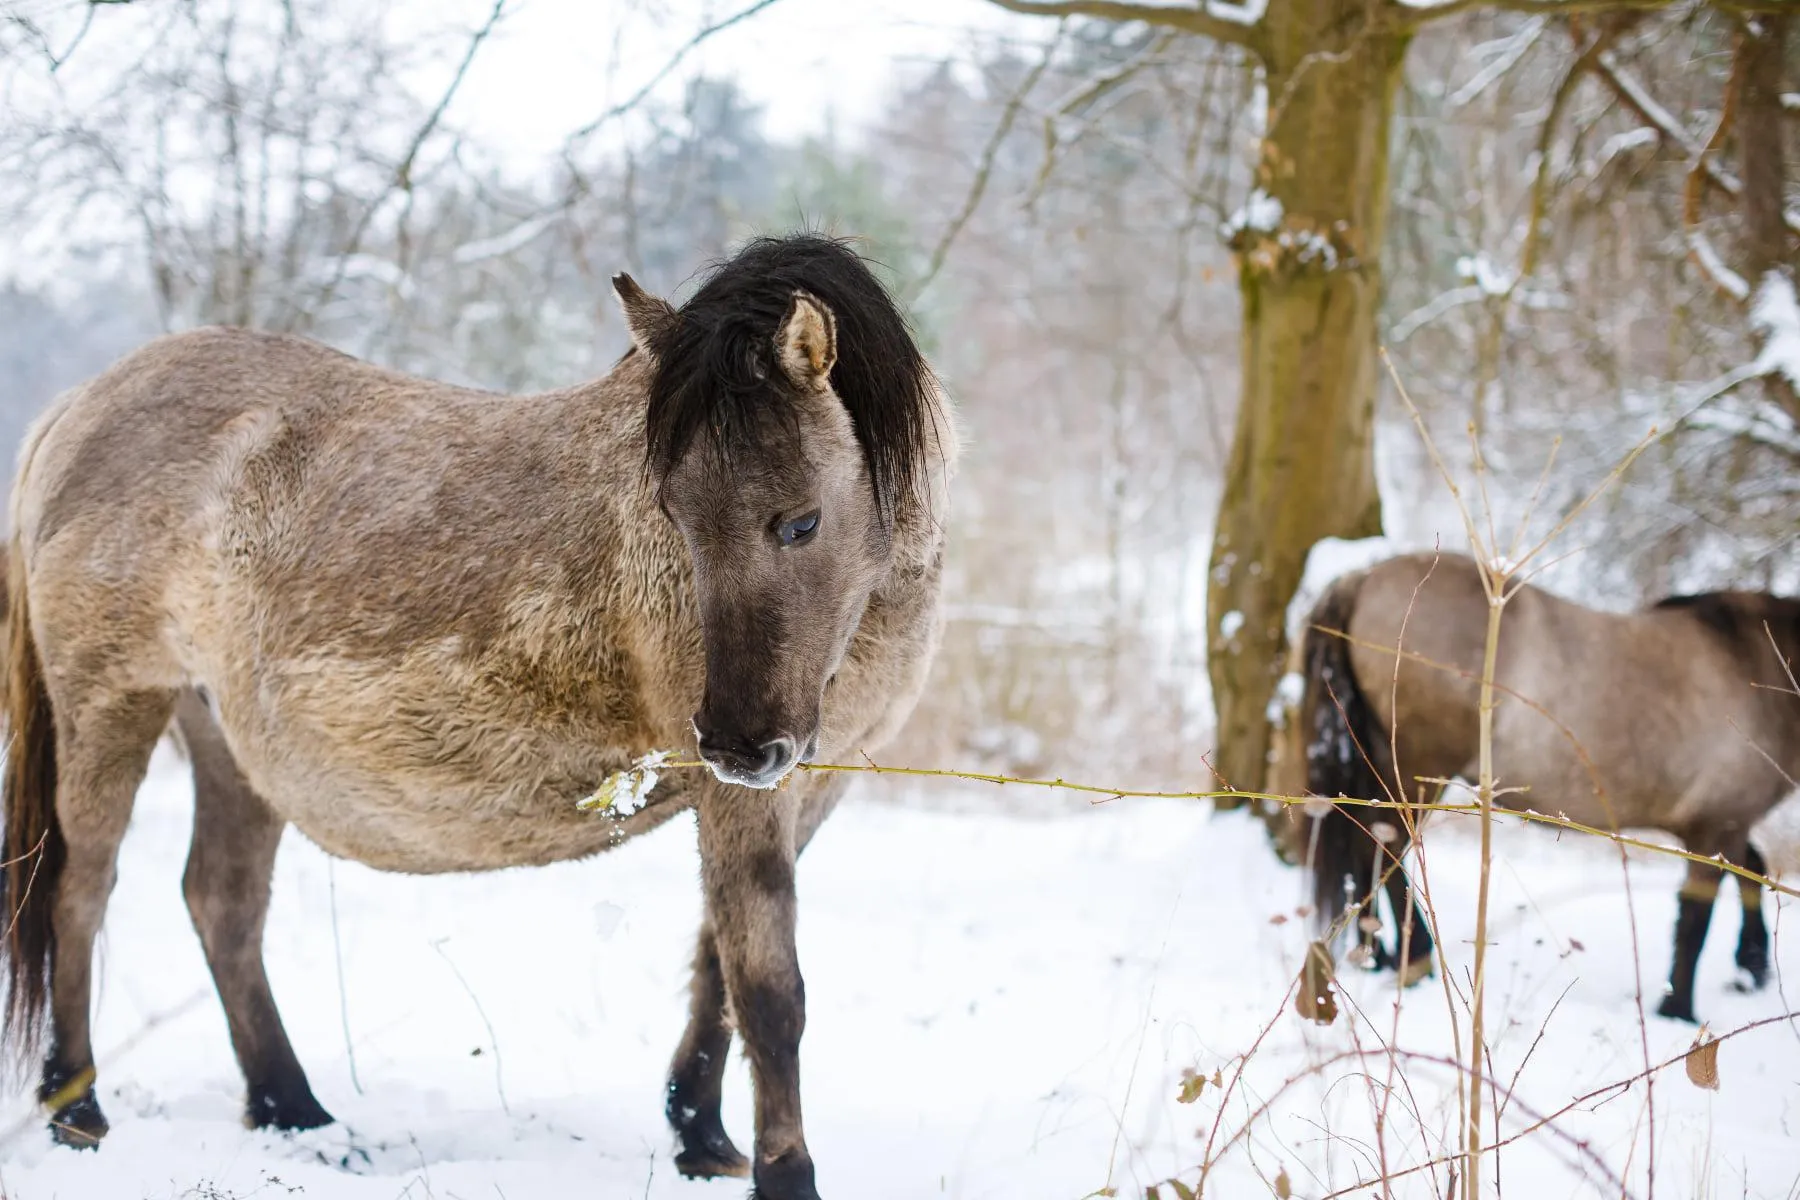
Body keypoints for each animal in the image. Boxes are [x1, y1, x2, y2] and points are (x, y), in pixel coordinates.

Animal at [0, 233, 957, 1200]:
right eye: (675, 516)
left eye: (800, 523)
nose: (734, 741)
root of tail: (77, 408)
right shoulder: (743, 797)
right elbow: (766, 987)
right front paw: (783, 1173)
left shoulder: (808, 784)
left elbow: (717, 969)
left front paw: (701, 1139)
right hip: (112, 706)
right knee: (80, 892)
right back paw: (79, 1111)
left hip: (224, 741)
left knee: (222, 905)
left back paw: (294, 1112)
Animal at [1288, 550, 1792, 1021]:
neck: (1749, 658)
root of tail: (1362, 579)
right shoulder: (1719, 823)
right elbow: (1695, 921)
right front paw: (1679, 1010)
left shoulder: (1720, 826)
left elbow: (1753, 870)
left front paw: (1750, 969)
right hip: (1415, 770)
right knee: (1387, 846)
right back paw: (1415, 960)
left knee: (1367, 845)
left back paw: (1379, 955)